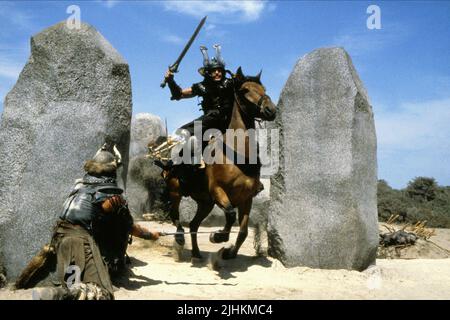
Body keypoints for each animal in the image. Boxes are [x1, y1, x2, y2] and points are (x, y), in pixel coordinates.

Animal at [160, 67, 276, 260]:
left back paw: (196, 252)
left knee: (194, 225)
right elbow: (230, 214)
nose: (270, 110)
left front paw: (229, 252)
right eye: (245, 90)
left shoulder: (247, 199)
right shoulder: (218, 191)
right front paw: (218, 236)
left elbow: (243, 231)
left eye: (264, 88)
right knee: (174, 215)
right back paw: (179, 236)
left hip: (205, 203)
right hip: (176, 191)